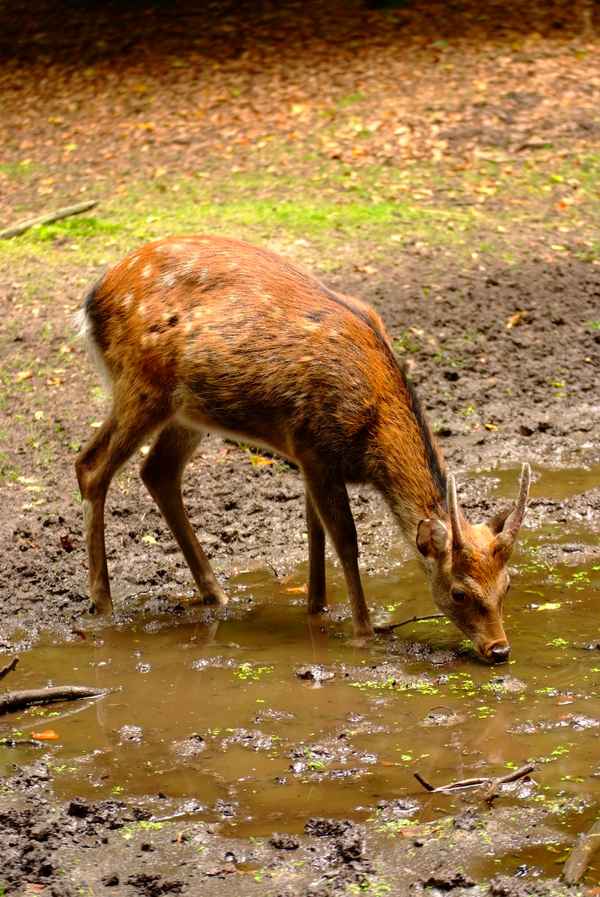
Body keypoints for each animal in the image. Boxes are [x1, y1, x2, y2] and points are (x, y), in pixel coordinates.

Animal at [75, 235, 530, 663]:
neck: (371, 439)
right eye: (458, 592)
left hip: (187, 412)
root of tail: (92, 299)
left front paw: (318, 610)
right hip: (141, 385)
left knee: (158, 471)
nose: (500, 649)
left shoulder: (309, 457)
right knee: (91, 465)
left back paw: (216, 594)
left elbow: (315, 530)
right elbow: (345, 539)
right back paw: (103, 602)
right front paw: (364, 633)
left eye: (507, 584)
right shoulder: (314, 448)